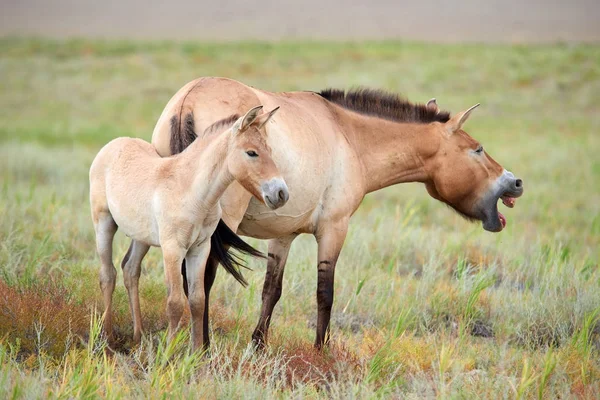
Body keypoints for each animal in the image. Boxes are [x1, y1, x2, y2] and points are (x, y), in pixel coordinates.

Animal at [87, 105, 288, 350]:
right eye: (252, 152)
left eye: (269, 150)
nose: (281, 193)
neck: (192, 191)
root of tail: (113, 145)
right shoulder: (173, 249)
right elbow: (175, 302)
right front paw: (169, 353)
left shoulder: (199, 249)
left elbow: (197, 300)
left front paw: (196, 352)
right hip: (103, 222)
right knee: (108, 274)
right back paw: (107, 339)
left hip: (141, 236)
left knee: (130, 270)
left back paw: (138, 337)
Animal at [146, 76, 524, 348]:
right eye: (478, 150)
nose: (515, 182)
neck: (348, 135)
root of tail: (189, 100)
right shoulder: (333, 229)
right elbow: (324, 293)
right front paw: (321, 351)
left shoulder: (283, 235)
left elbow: (271, 291)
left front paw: (258, 346)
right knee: (203, 281)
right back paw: (205, 348)